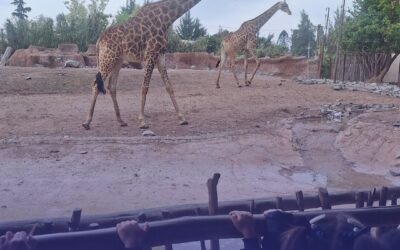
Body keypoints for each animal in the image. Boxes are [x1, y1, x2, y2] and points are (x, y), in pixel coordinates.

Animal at [82, 0, 202, 130]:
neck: (167, 18)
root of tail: (99, 41)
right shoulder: (151, 53)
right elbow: (144, 87)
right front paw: (142, 121)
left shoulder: (161, 55)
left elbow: (169, 86)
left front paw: (182, 118)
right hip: (108, 58)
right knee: (96, 85)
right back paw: (87, 122)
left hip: (117, 60)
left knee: (111, 86)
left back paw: (121, 121)